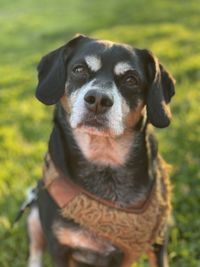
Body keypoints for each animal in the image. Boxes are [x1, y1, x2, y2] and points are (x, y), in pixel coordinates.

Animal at [27, 35, 175, 267]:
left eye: (131, 79)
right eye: (78, 69)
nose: (98, 99)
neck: (104, 160)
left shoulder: (158, 243)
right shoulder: (59, 248)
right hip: (33, 214)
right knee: (35, 249)